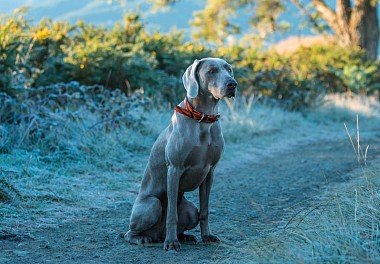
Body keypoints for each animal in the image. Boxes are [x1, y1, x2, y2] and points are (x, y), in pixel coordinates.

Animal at [124, 57, 238, 252]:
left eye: (228, 69)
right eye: (212, 71)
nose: (233, 84)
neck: (203, 119)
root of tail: (157, 235)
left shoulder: (210, 172)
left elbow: (205, 210)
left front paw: (207, 236)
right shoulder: (174, 169)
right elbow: (171, 214)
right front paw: (171, 243)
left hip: (190, 209)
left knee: (191, 215)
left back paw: (185, 236)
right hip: (151, 205)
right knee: (129, 233)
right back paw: (146, 239)